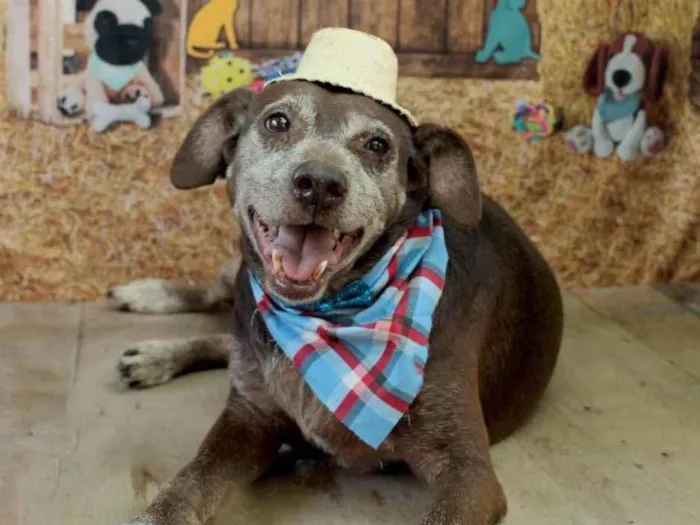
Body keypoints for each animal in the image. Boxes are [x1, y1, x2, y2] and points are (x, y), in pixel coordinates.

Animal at [568, 32, 668, 160]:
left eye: (644, 58)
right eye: (611, 55)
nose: (620, 76)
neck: (619, 102)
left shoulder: (641, 111)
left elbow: (635, 132)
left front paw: (625, 151)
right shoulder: (600, 108)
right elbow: (598, 128)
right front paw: (603, 148)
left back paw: (653, 143)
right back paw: (578, 140)